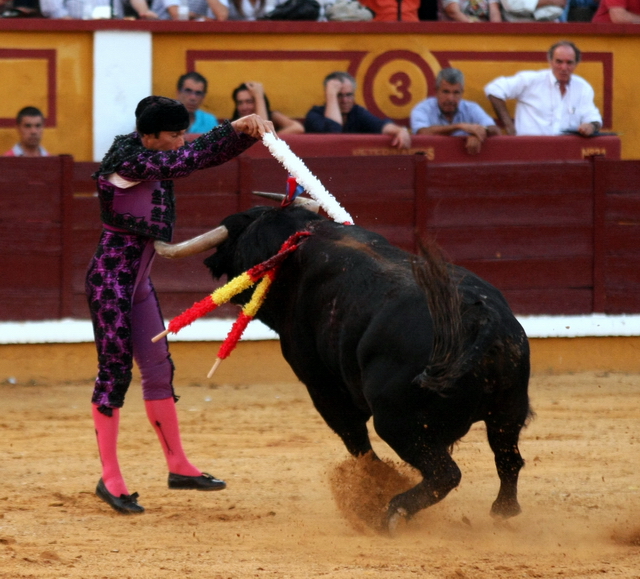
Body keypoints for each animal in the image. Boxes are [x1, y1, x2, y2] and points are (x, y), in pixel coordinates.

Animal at [201, 205, 528, 536]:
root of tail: (480, 319)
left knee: (445, 473)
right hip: (510, 408)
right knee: (508, 458)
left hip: (398, 422)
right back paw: (503, 510)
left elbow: (356, 440)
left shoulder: (322, 387)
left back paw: (391, 513)